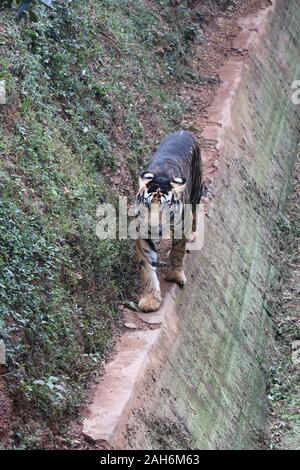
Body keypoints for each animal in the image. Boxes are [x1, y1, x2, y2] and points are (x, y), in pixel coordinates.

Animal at [135, 129, 202, 312]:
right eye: (147, 204)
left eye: (164, 208)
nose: (153, 227)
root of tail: (183, 131)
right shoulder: (143, 233)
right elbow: (147, 266)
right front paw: (150, 300)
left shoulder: (182, 225)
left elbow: (178, 251)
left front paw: (175, 275)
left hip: (197, 191)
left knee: (195, 212)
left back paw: (192, 236)